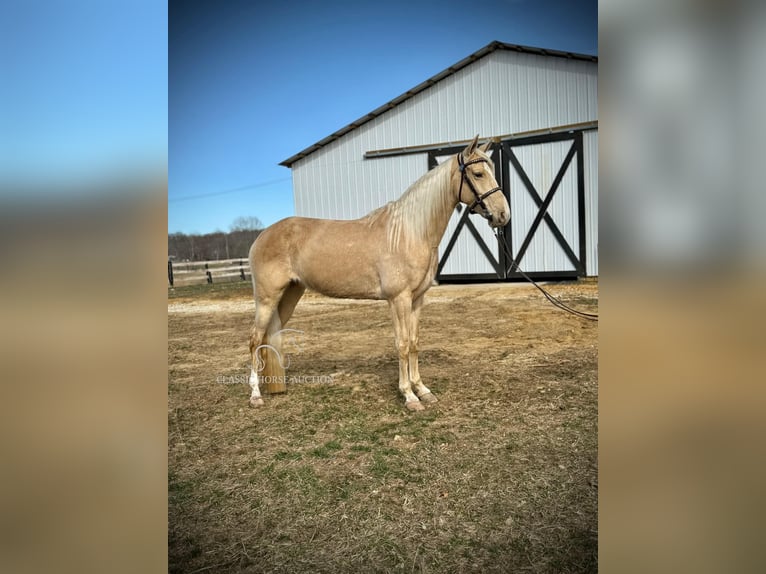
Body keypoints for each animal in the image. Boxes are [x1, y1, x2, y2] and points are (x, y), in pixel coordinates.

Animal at [249, 137, 510, 412]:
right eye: (478, 173)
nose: (503, 215)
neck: (410, 232)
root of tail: (262, 236)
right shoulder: (398, 299)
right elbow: (402, 344)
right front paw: (409, 396)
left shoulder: (417, 299)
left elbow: (414, 342)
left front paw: (423, 390)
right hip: (267, 298)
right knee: (255, 338)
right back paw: (255, 394)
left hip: (290, 294)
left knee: (268, 336)